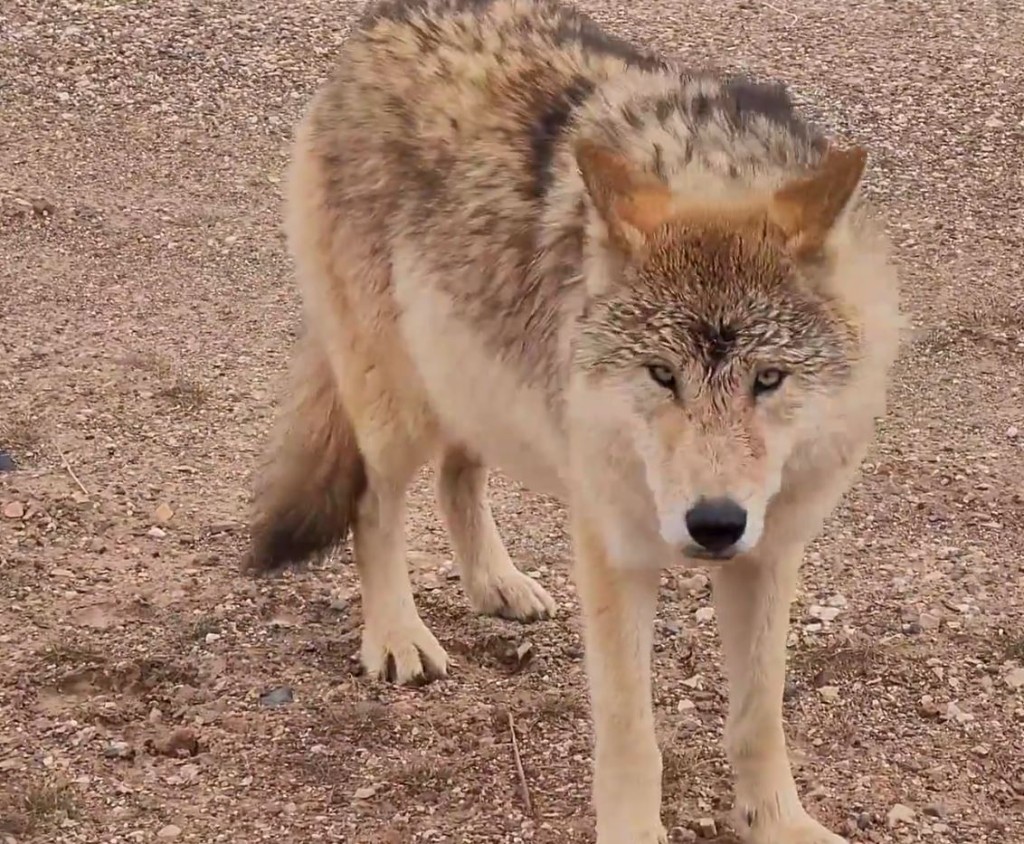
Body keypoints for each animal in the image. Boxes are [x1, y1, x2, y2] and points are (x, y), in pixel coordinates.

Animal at [243, 1, 901, 844]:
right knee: (373, 508)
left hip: (472, 371)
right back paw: (396, 637)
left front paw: (778, 823)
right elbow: (631, 736)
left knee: (460, 473)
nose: (714, 524)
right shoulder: (614, 555)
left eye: (768, 379)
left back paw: (497, 583)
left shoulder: (770, 552)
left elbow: (759, 719)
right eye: (661, 375)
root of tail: (383, 22)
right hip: (397, 404)